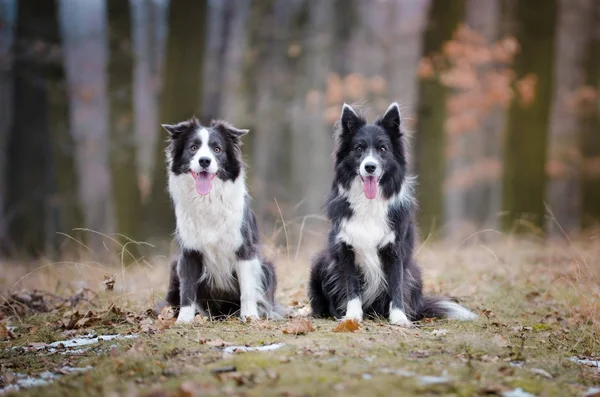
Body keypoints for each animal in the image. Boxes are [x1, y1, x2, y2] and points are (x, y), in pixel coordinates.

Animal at [162, 117, 278, 322]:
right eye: (193, 147)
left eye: (217, 149)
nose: (204, 161)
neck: (208, 200)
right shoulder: (189, 253)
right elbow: (187, 290)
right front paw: (184, 320)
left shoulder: (244, 249)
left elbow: (247, 289)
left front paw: (250, 316)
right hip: (175, 266)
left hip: (267, 267)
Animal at [308, 102, 476, 324]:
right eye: (359, 149)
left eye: (383, 149)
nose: (370, 167)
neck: (369, 203)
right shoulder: (346, 251)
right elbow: (352, 287)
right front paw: (352, 316)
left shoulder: (395, 250)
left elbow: (396, 285)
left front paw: (399, 318)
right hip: (320, 263)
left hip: (415, 273)